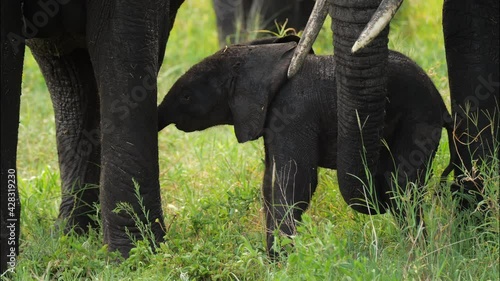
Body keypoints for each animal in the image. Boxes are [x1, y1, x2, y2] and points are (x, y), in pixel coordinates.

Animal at [159, 35, 454, 256]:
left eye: (186, 97)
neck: (261, 59)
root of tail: (442, 105)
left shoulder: (294, 113)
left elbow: (295, 183)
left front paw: (284, 264)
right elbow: (269, 184)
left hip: (419, 120)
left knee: (401, 186)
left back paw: (417, 255)